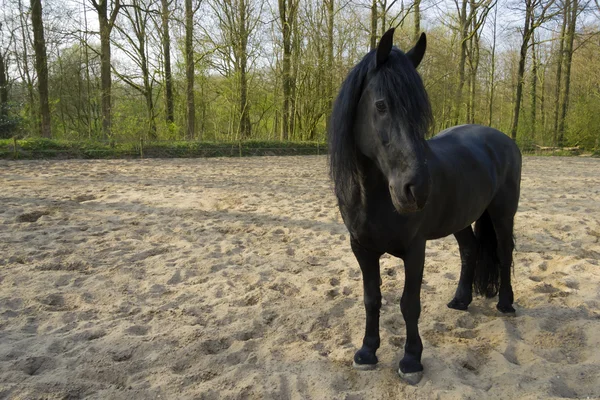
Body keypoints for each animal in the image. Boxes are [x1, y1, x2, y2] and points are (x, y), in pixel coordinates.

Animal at [328, 28, 520, 384]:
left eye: (420, 111)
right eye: (381, 105)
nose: (417, 189)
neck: (374, 198)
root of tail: (503, 139)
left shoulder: (414, 249)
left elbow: (409, 304)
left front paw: (411, 360)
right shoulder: (361, 248)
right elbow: (371, 299)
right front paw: (367, 352)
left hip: (503, 214)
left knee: (504, 252)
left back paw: (505, 304)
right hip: (461, 219)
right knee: (470, 250)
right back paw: (460, 300)